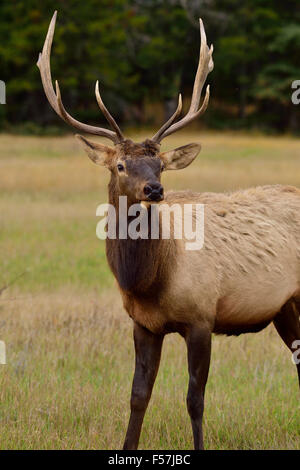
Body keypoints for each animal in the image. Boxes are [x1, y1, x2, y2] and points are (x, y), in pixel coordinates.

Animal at [38, 11, 300, 452]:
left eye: (160, 165)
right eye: (121, 165)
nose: (155, 190)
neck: (150, 280)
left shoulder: (201, 316)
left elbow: (195, 398)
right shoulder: (143, 324)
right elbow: (137, 395)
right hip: (285, 308)